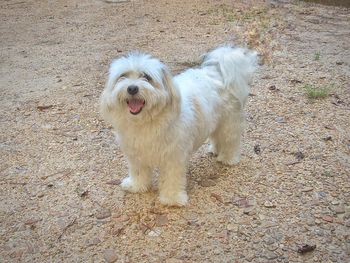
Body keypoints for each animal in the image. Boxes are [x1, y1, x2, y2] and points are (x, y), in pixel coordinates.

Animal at [101, 46, 258, 206]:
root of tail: (218, 71)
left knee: (230, 141)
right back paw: (215, 150)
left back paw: (228, 158)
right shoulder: (136, 154)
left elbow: (172, 178)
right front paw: (136, 185)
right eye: (123, 76)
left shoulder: (173, 156)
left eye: (146, 77)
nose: (132, 88)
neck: (146, 121)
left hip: (228, 124)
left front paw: (172, 198)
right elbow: (138, 172)